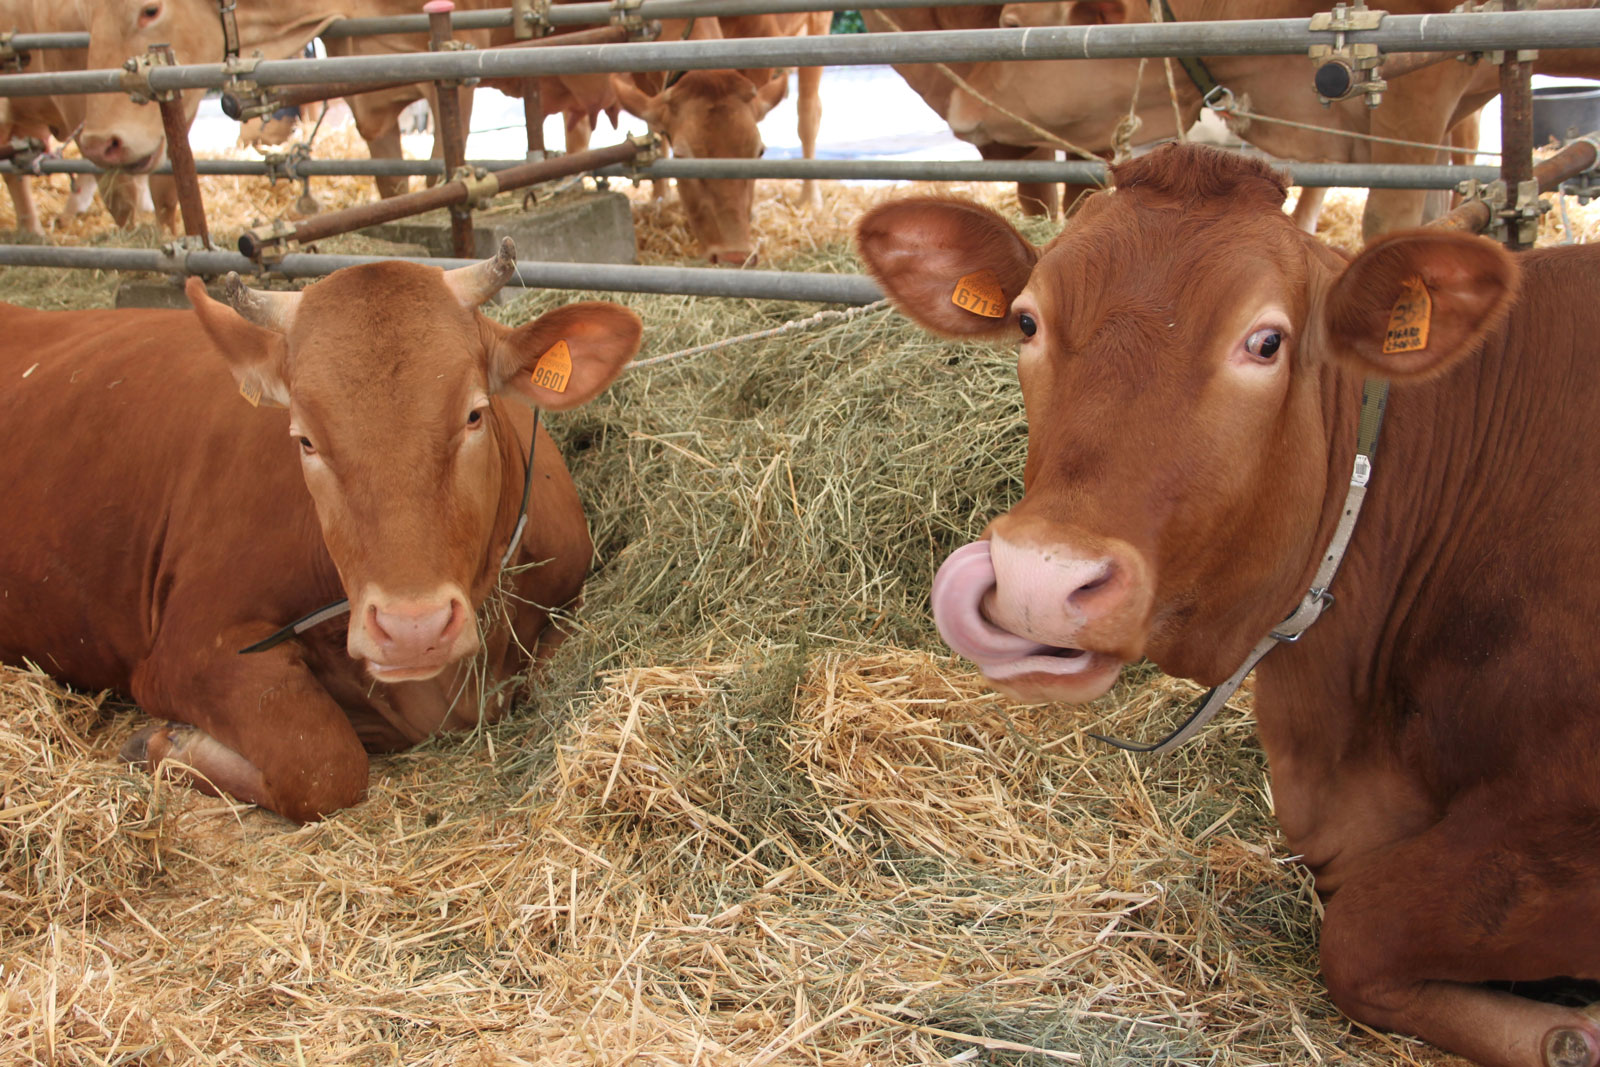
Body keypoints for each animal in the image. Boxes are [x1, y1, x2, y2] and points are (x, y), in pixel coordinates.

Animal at [0, 240, 641, 822]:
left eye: (475, 413)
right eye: (304, 439)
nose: (411, 630)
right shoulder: (186, 651)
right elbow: (322, 762)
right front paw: (161, 741)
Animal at [609, 12, 830, 266]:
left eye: (759, 152)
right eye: (681, 156)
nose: (734, 256)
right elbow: (656, 131)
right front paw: (660, 198)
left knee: (808, 113)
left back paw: (810, 199)